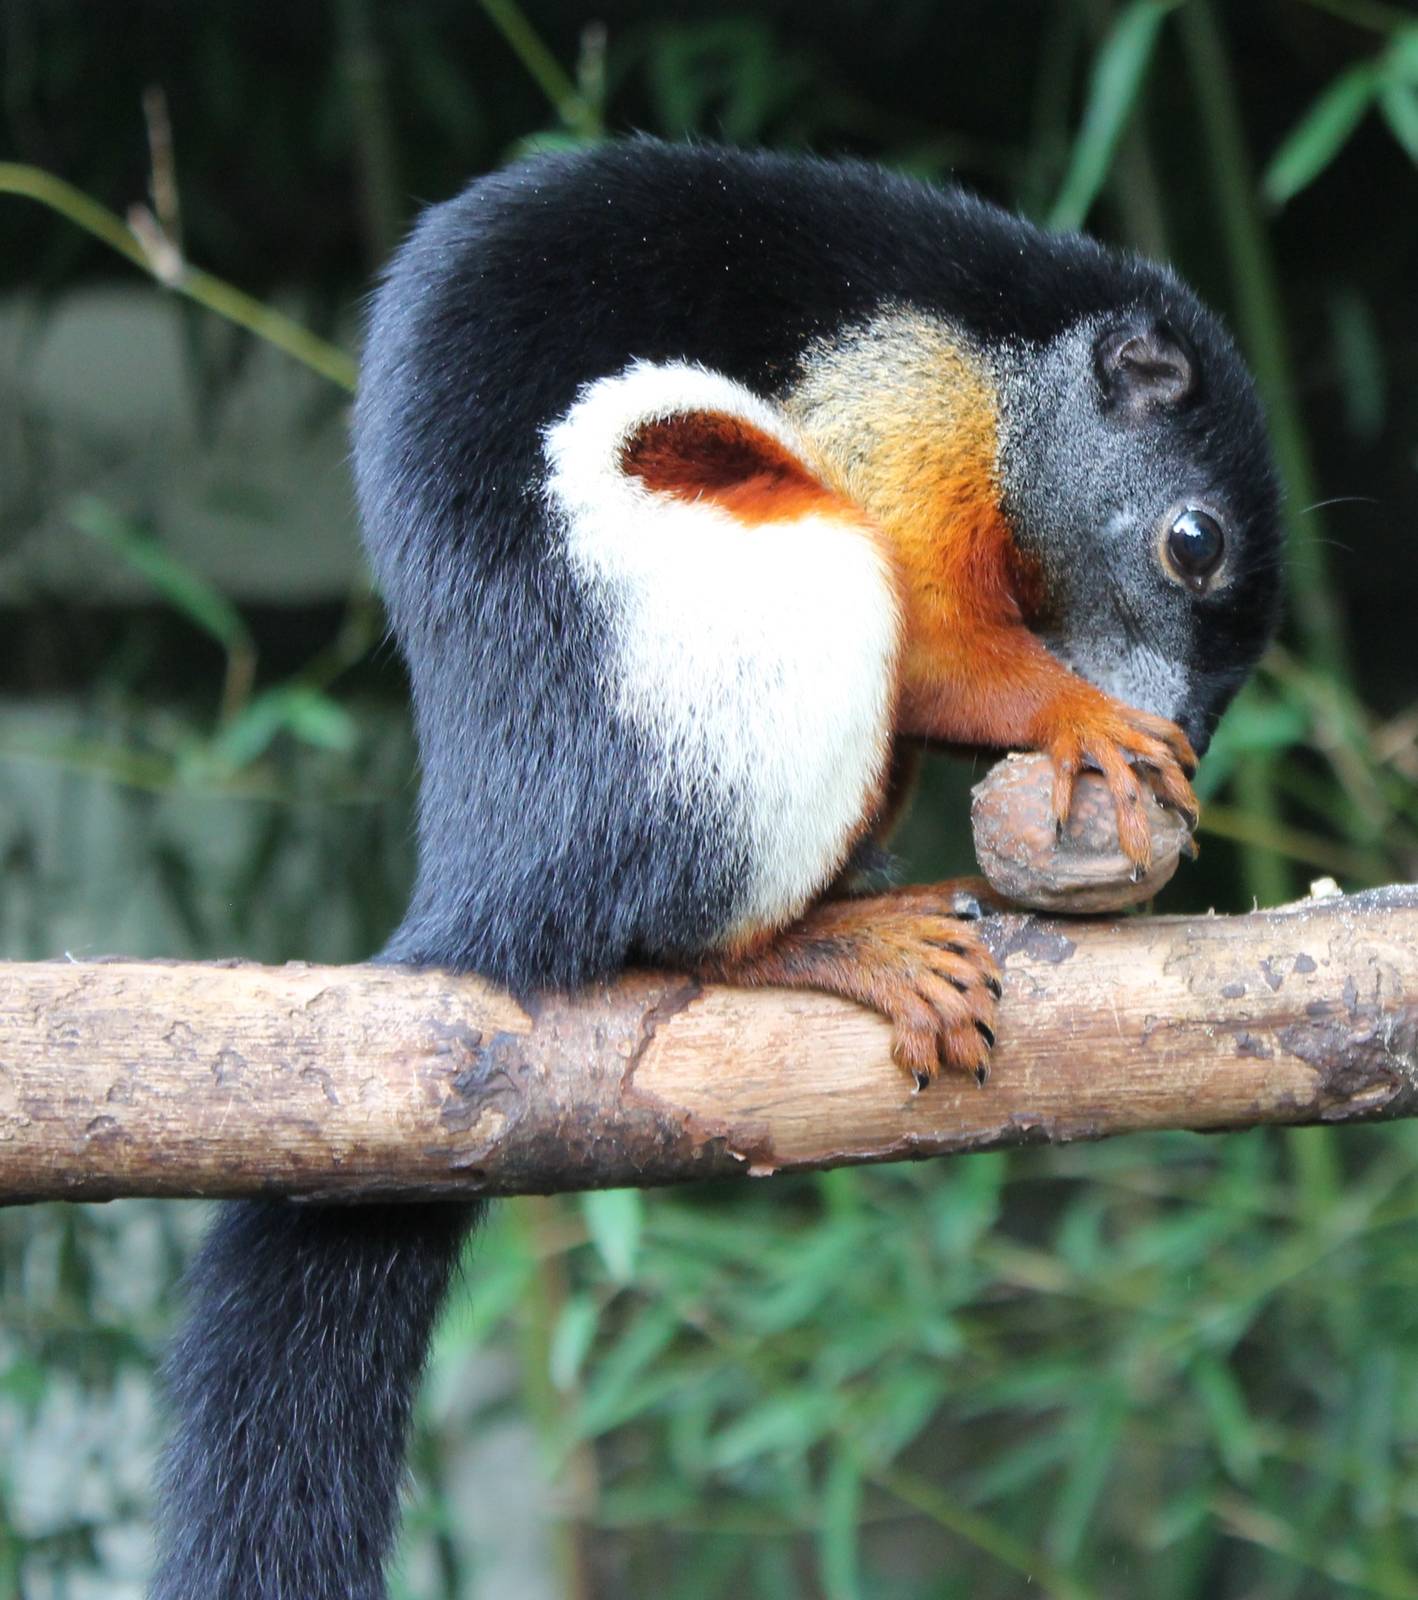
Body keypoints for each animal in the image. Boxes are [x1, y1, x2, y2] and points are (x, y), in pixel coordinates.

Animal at [149, 139, 1282, 1600]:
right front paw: (1079, 718)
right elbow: (933, 629)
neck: (1004, 354)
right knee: (691, 924)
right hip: (769, 608)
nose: (1180, 732)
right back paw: (838, 941)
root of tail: (495, 878)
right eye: (1189, 544)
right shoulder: (896, 395)